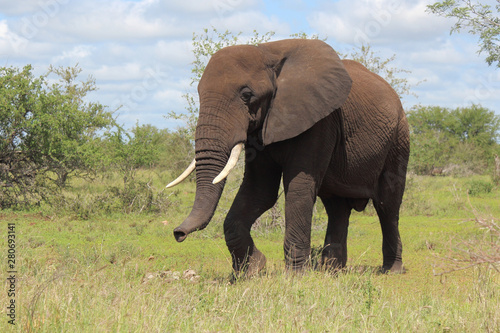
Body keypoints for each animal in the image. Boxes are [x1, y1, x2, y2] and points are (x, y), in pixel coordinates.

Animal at [168, 38, 410, 274]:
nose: (178, 234)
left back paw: (391, 270)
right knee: (336, 206)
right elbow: (259, 190)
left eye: (247, 95)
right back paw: (332, 271)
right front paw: (250, 271)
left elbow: (298, 188)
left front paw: (295, 276)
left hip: (398, 139)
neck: (268, 53)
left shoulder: (319, 121)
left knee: (387, 204)